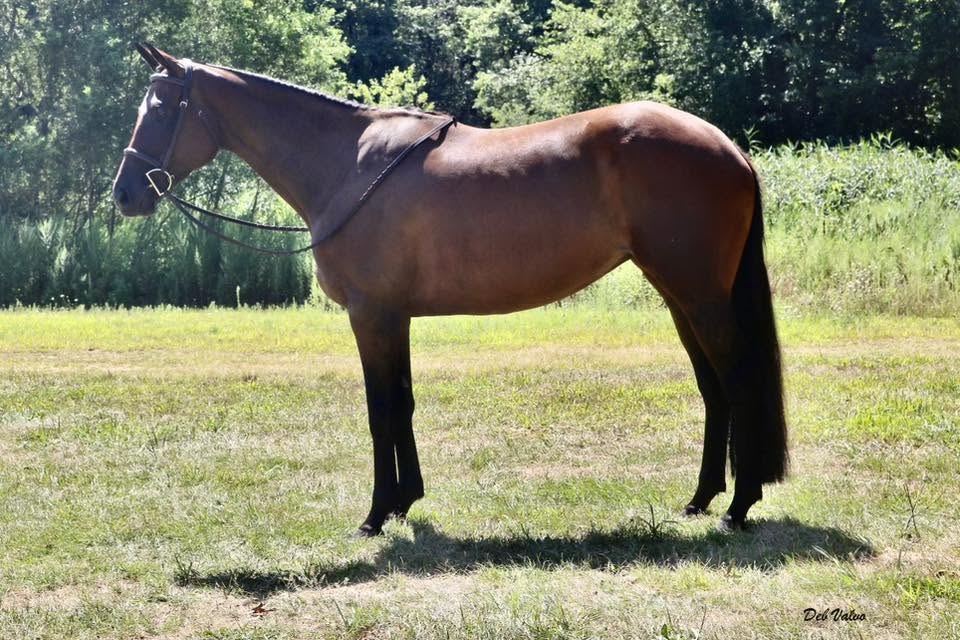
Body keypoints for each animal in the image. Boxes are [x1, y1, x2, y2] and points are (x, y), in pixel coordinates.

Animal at [112, 43, 788, 536]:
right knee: (713, 388)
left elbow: (380, 409)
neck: (348, 164)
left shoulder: (371, 316)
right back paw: (701, 499)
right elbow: (403, 403)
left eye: (161, 108)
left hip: (700, 297)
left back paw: (738, 506)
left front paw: (376, 514)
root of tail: (728, 147)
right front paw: (405, 501)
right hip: (682, 298)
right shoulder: (395, 318)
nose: (126, 193)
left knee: (737, 380)